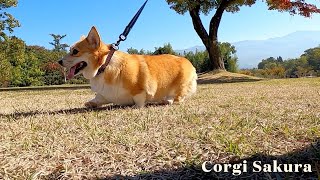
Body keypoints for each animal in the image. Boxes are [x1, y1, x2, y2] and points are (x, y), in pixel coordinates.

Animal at [58, 26, 196, 108]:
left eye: (75, 51)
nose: (59, 61)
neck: (104, 66)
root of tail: (189, 63)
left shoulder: (139, 90)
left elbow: (139, 99)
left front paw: (136, 106)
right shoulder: (104, 94)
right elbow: (98, 99)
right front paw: (91, 103)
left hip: (179, 87)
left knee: (178, 97)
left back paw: (167, 100)